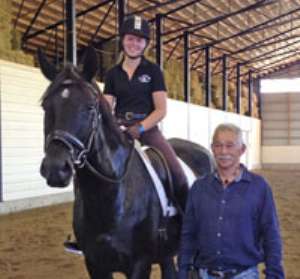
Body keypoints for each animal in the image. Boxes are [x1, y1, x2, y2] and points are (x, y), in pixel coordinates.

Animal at [39, 47, 213, 278]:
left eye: (90, 107)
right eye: (45, 106)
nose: (56, 169)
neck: (111, 196)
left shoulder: (140, 263)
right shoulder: (95, 263)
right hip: (166, 253)